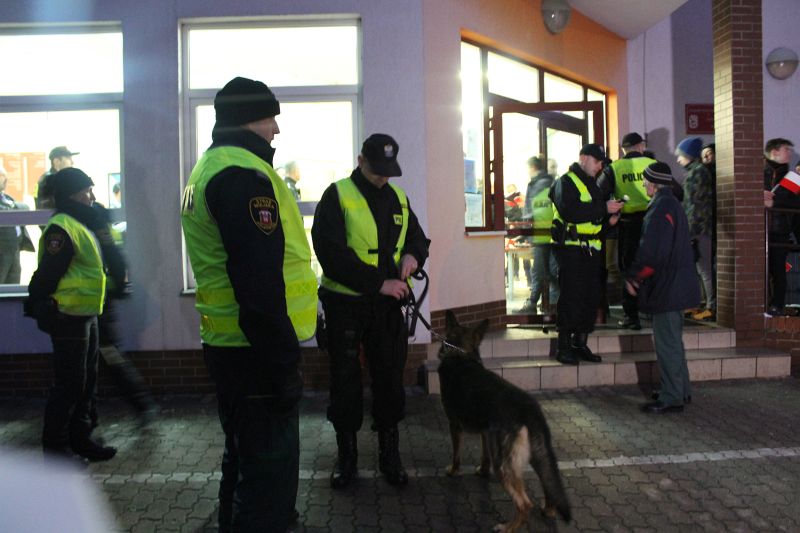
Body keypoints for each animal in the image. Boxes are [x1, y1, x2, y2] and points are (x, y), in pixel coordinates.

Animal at [437, 310, 571, 532]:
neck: (460, 354)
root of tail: (529, 409)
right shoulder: (485, 432)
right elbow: (484, 457)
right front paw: (483, 471)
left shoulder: (454, 426)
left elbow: (456, 455)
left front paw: (453, 471)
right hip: (536, 455)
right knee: (548, 482)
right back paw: (548, 510)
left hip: (503, 463)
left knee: (525, 504)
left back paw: (508, 527)